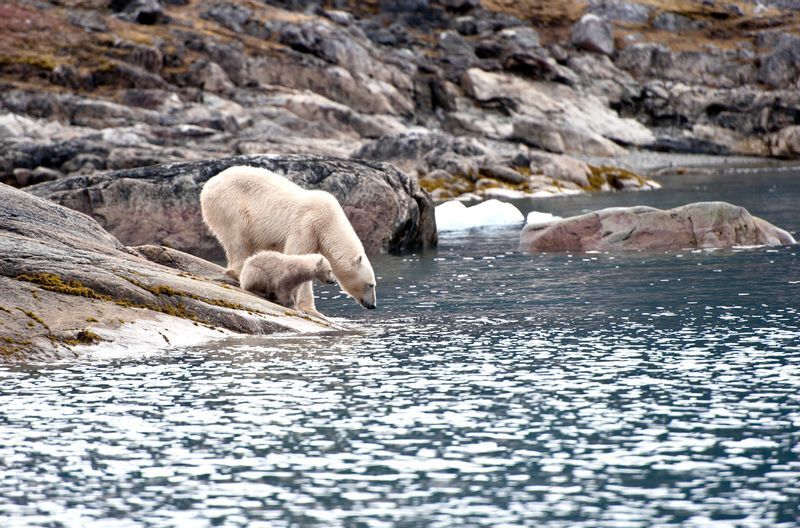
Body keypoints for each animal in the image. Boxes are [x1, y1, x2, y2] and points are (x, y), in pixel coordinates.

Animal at [198, 166, 376, 314]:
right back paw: (239, 272)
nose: (373, 305)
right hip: (230, 203)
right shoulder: (307, 226)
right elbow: (297, 257)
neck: (329, 222)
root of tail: (208, 184)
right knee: (238, 237)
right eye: (371, 284)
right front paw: (310, 308)